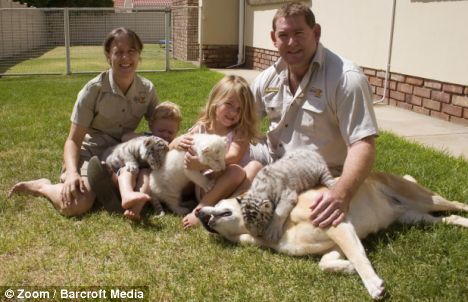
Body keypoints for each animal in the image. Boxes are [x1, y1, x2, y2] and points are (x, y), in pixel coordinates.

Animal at [197, 172, 468, 300]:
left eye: (218, 202)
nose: (198, 212)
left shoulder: (338, 225)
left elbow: (358, 256)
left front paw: (373, 284)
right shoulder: (333, 243)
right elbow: (326, 264)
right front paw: (347, 269)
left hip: (425, 199)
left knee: (457, 204)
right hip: (414, 217)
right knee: (451, 219)